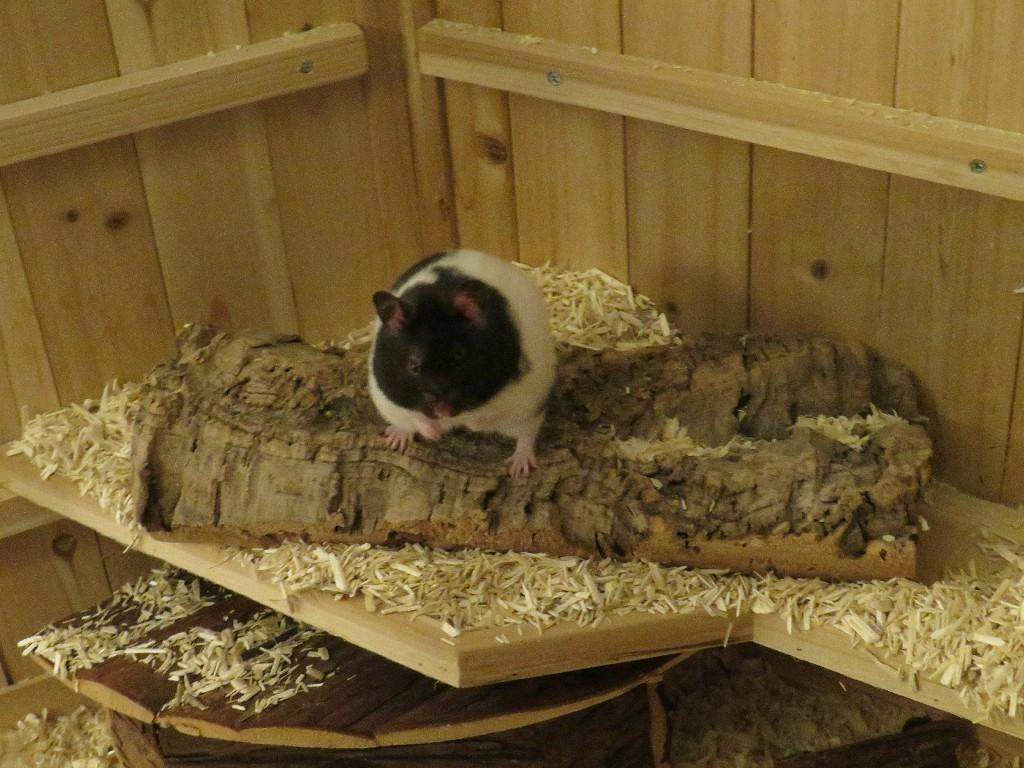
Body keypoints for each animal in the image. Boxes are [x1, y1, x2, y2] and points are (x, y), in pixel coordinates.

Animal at [368, 249, 556, 477]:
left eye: (459, 356)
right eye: (413, 365)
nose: (443, 411)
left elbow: (489, 418)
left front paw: (472, 425)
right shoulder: (390, 393)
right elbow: (418, 418)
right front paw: (436, 433)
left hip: (527, 406)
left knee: (526, 435)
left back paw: (519, 468)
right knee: (404, 423)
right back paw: (396, 438)